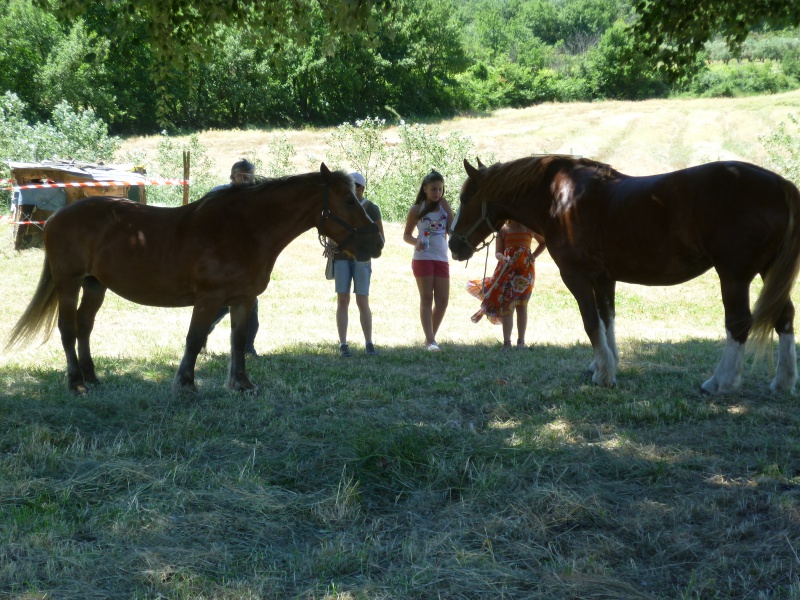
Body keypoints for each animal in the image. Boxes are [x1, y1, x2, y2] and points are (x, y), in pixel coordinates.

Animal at [5, 166, 382, 396]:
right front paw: (185, 384)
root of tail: (57, 216)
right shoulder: (208, 300)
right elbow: (194, 338)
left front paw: (242, 384)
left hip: (95, 284)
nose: (376, 243)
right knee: (68, 329)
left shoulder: (242, 300)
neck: (245, 229)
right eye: (348, 200)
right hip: (68, 283)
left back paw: (93, 377)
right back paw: (75, 382)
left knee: (84, 327)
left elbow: (238, 340)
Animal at [450, 157, 800, 396]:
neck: (559, 198)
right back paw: (782, 382)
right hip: (768, 273)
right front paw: (607, 362)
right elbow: (608, 321)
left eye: (465, 199)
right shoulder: (604, 279)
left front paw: (604, 374)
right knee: (784, 317)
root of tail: (779, 185)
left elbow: (591, 323)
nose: (454, 245)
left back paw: (720, 382)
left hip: (734, 276)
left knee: (739, 323)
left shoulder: (576, 277)